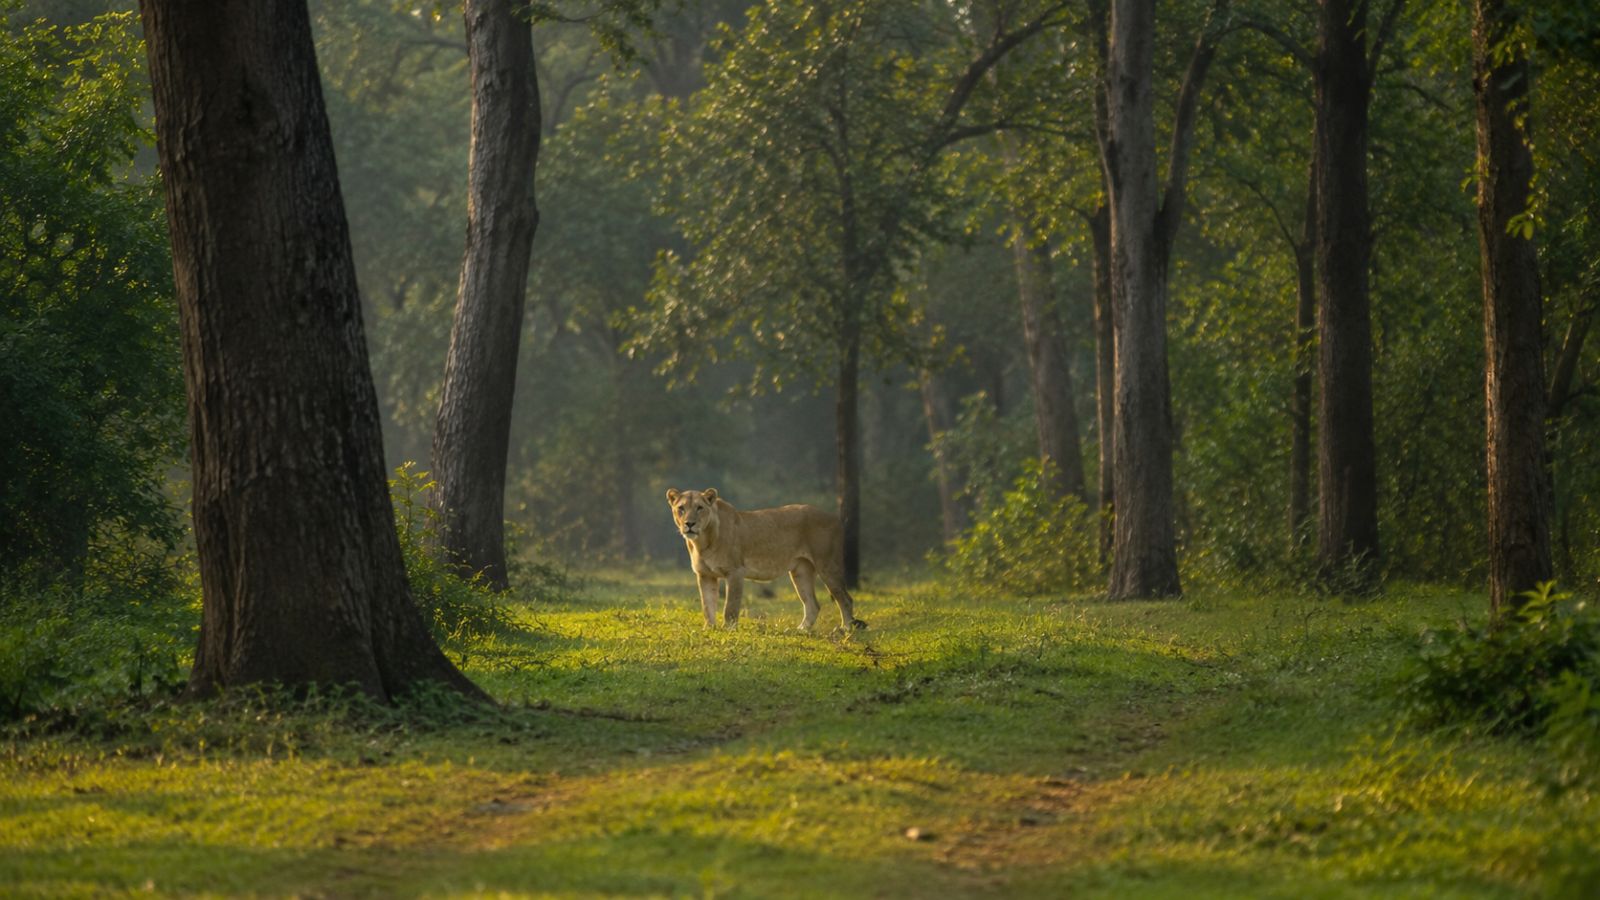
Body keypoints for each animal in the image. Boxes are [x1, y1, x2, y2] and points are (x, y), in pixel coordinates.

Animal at [666, 488, 866, 632]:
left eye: (699, 508)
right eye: (681, 508)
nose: (689, 524)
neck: (702, 542)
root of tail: (835, 517)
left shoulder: (735, 572)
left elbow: (730, 607)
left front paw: (728, 630)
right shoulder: (705, 575)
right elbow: (707, 605)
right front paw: (709, 628)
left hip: (828, 565)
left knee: (846, 599)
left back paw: (846, 629)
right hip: (801, 571)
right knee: (813, 604)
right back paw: (800, 630)